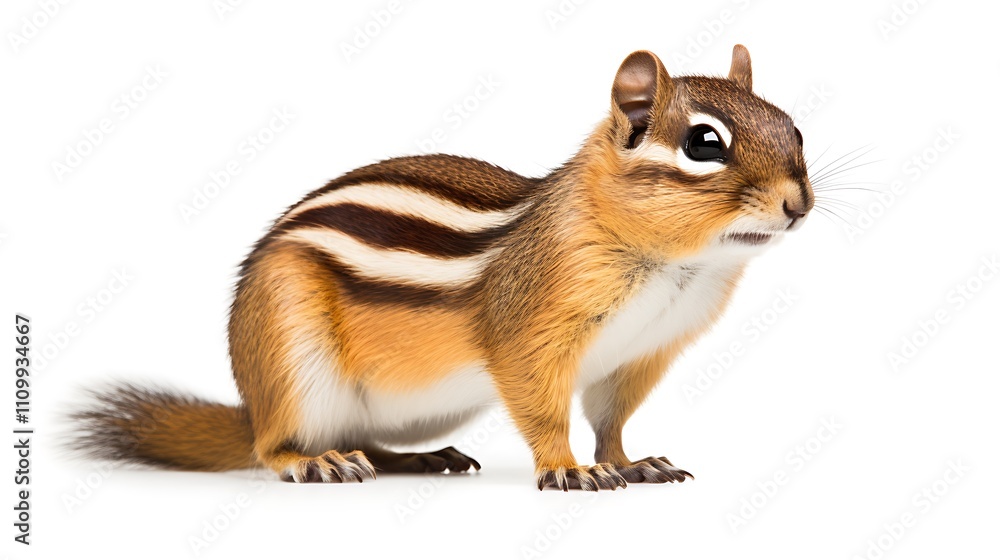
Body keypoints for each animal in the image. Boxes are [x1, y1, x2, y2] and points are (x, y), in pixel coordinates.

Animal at [71, 45, 813, 491]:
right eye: (704, 143)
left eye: (795, 128)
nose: (798, 203)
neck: (676, 269)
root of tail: (252, 403)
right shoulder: (530, 333)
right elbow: (543, 405)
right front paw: (566, 469)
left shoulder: (641, 354)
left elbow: (610, 420)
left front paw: (632, 463)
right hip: (291, 358)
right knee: (274, 447)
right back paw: (315, 460)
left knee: (365, 438)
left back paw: (420, 458)